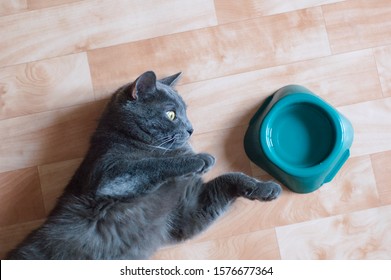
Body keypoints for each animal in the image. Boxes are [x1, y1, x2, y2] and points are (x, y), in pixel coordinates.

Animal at [6, 71, 282, 260]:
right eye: (171, 114)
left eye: (185, 111)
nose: (191, 129)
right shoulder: (109, 175)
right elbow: (152, 164)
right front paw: (200, 159)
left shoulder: (186, 211)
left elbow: (230, 178)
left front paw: (265, 188)